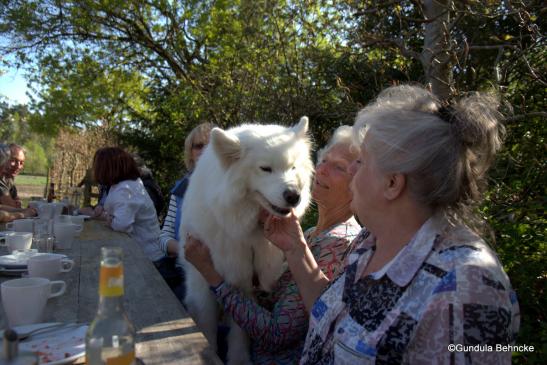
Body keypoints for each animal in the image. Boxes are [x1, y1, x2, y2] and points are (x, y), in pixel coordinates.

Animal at [181, 116, 312, 362]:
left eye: (292, 167)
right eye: (265, 169)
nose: (294, 196)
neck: (249, 230)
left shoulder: (246, 282)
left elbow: (241, 330)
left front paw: (239, 358)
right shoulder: (204, 280)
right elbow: (207, 323)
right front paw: (210, 352)